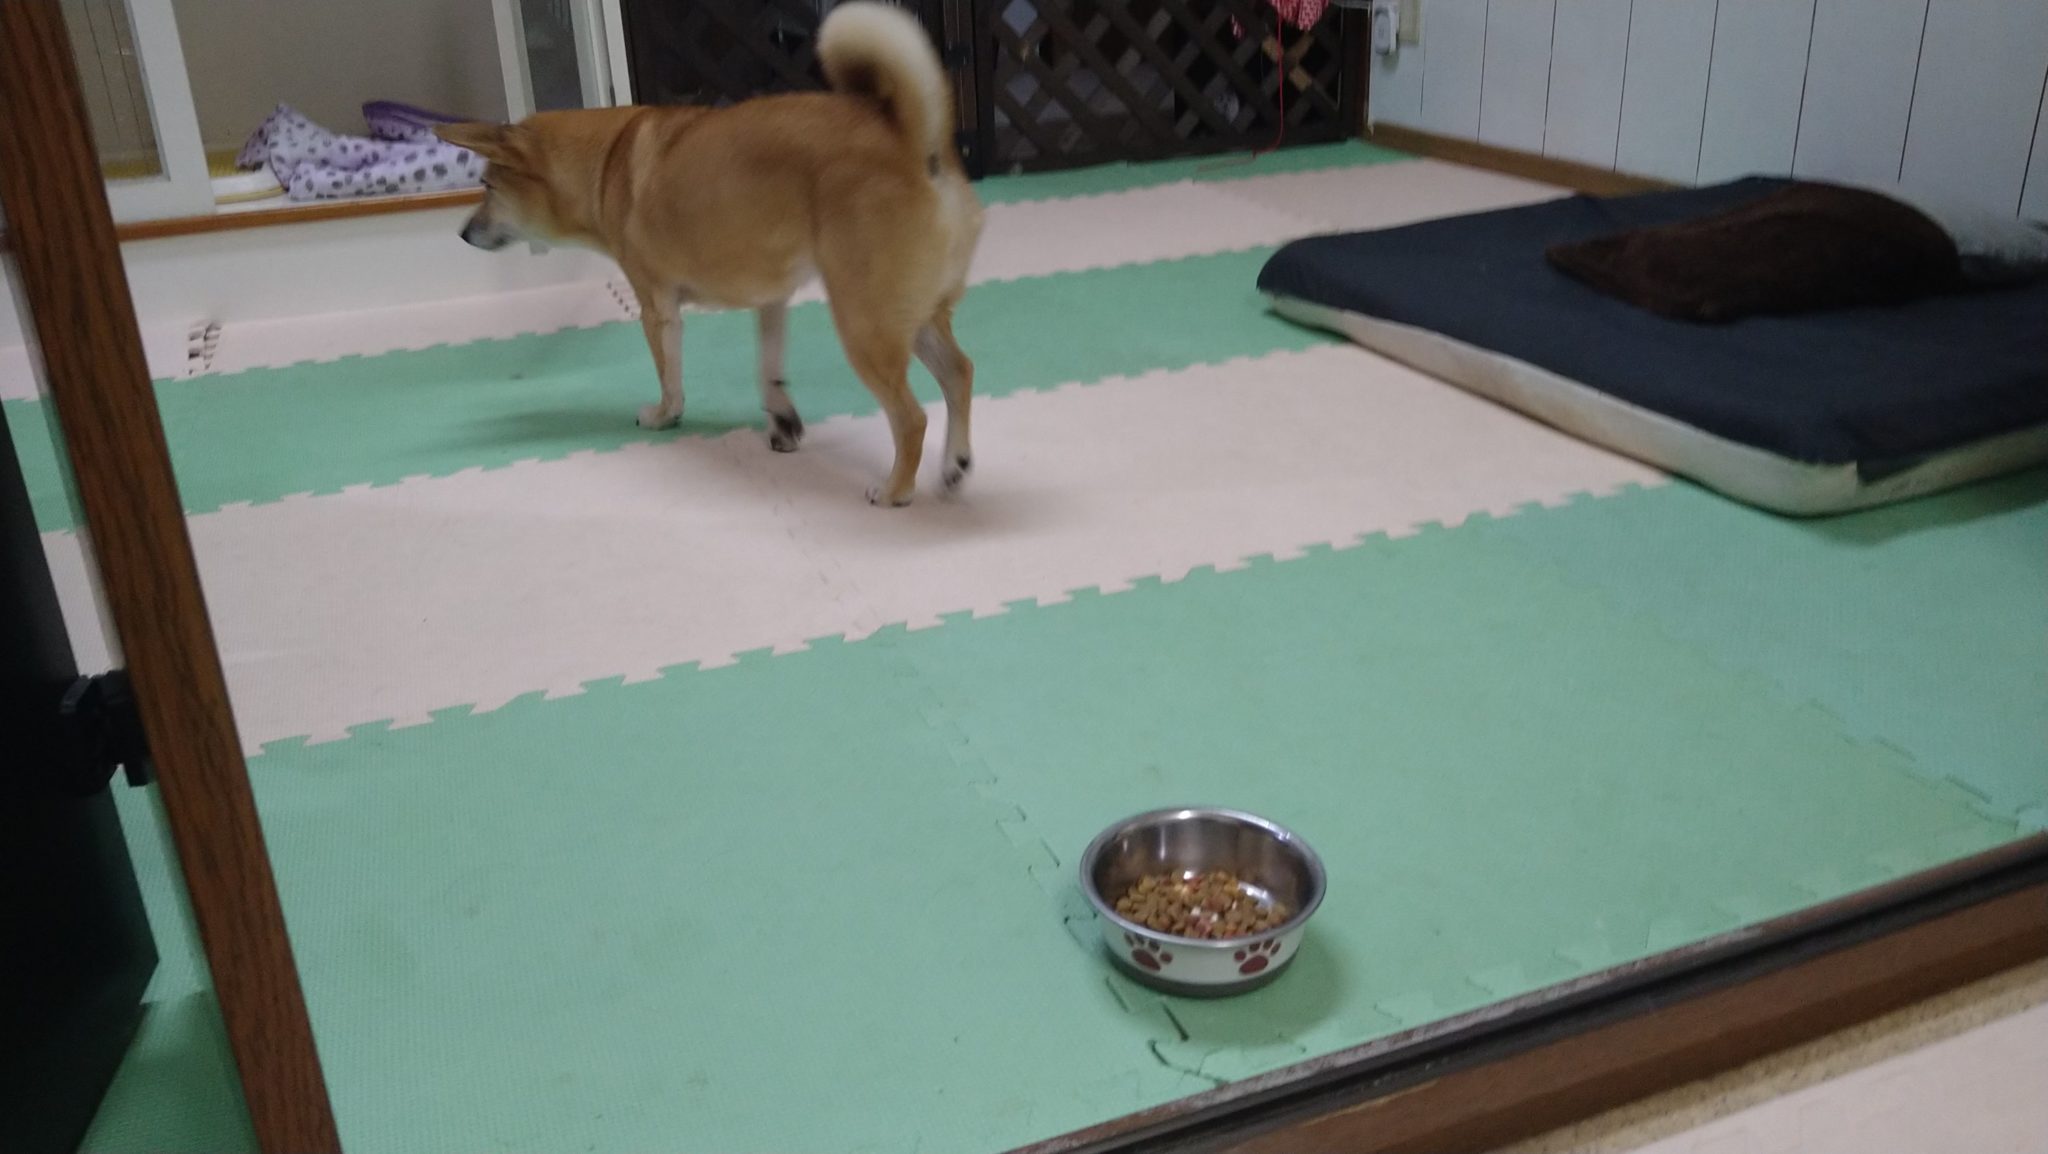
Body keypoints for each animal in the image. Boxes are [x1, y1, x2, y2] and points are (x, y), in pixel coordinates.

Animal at [437, 2, 983, 506]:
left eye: (486, 187)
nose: (463, 233)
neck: (607, 162)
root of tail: (915, 142)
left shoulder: (656, 307)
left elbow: (670, 375)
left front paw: (664, 415)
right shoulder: (771, 298)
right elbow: (768, 367)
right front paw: (782, 422)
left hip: (865, 320)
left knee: (911, 417)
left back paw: (895, 490)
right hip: (911, 313)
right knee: (959, 373)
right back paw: (953, 465)